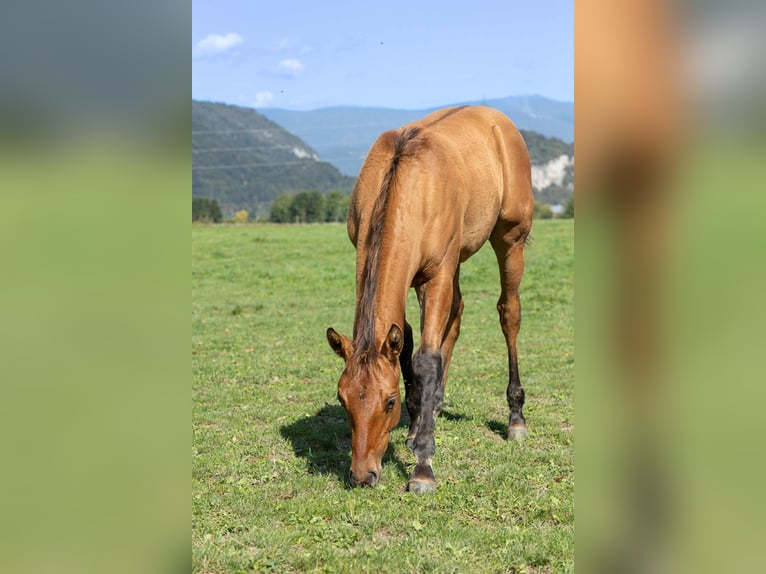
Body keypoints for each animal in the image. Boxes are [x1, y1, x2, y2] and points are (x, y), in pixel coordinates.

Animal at [326, 105, 533, 493]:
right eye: (341, 398)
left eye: (389, 401)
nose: (362, 475)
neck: (406, 183)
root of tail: (498, 120)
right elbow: (407, 341)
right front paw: (415, 423)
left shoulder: (434, 275)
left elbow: (426, 358)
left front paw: (422, 465)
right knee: (456, 315)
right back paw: (433, 406)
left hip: (510, 239)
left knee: (508, 313)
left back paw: (515, 418)